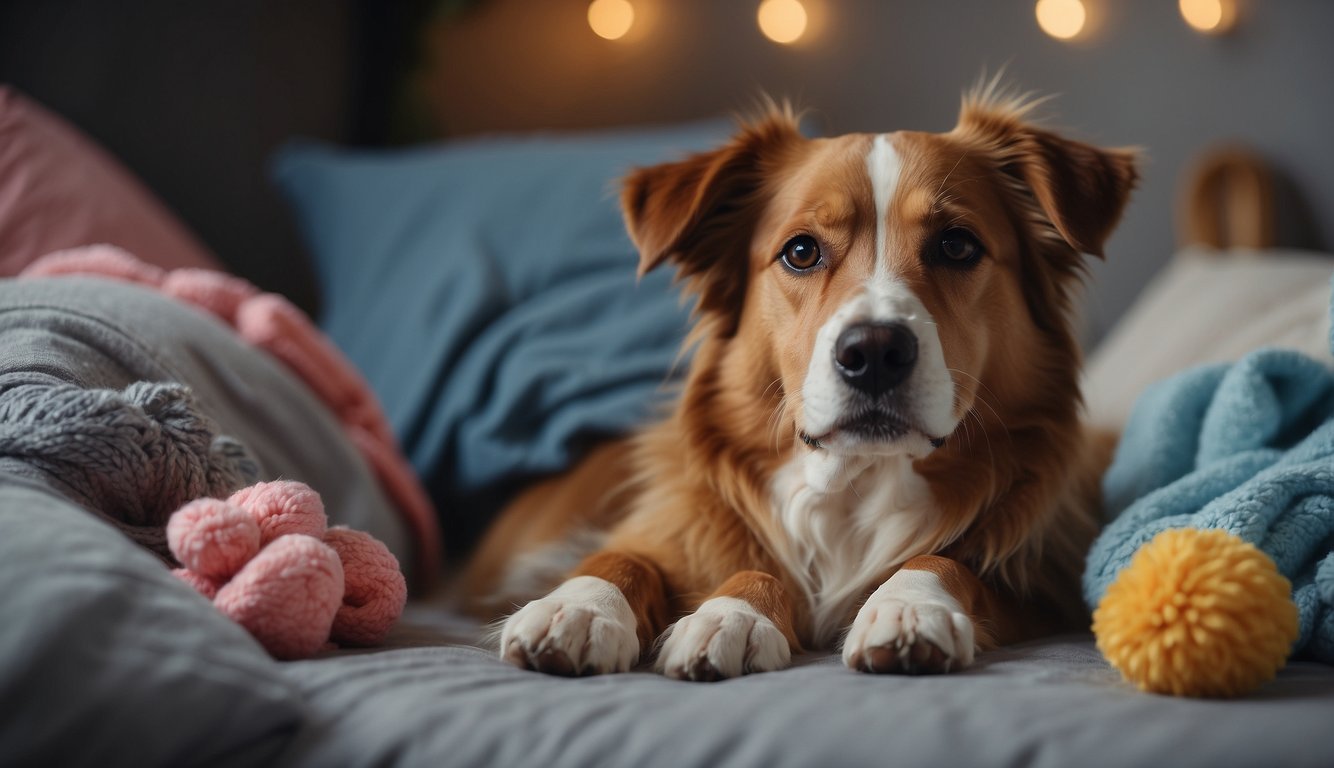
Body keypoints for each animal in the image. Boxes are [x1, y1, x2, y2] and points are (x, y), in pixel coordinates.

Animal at [458, 84, 1136, 680]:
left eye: (957, 245)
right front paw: (599, 608)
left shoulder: (1044, 588)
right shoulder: (673, 526)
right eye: (802, 252)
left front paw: (908, 605)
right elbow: (627, 557)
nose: (875, 352)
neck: (851, 485)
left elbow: (945, 560)